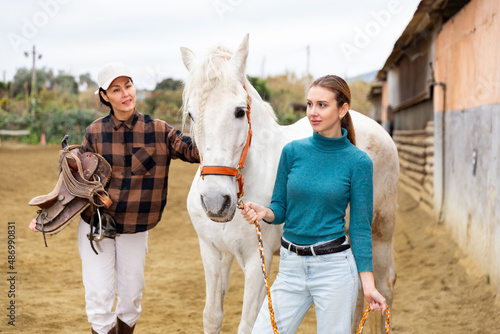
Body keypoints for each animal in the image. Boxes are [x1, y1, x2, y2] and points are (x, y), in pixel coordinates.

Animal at [180, 34, 398, 334]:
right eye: (191, 114)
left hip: (381, 232)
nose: (216, 202)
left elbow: (247, 324)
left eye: (239, 111)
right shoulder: (213, 252)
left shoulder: (256, 260)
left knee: (384, 287)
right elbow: (212, 316)